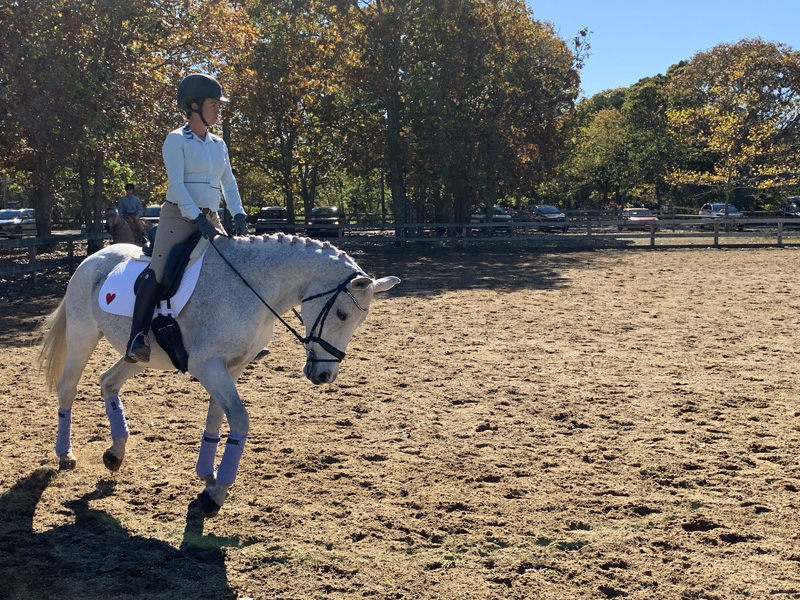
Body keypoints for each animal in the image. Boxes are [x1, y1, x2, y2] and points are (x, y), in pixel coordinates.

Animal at [36, 233, 400, 516]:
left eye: (359, 321)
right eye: (342, 314)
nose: (324, 375)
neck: (251, 288)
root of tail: (94, 258)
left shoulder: (231, 368)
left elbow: (216, 416)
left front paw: (207, 476)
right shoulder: (207, 365)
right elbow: (238, 418)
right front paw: (216, 494)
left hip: (138, 357)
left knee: (108, 381)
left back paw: (115, 453)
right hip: (83, 336)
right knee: (68, 387)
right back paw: (65, 454)